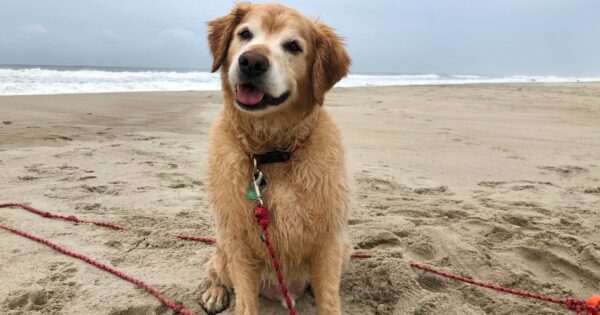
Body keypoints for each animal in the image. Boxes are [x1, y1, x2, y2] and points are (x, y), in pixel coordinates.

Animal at [202, 3, 352, 315]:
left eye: (293, 46)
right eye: (245, 34)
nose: (251, 61)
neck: (271, 153)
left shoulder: (329, 240)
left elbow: (329, 299)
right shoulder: (239, 240)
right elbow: (245, 301)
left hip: (344, 247)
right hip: (222, 246)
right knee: (217, 271)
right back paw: (215, 293)